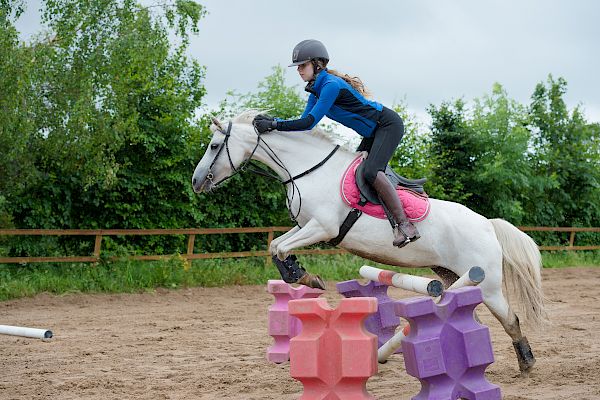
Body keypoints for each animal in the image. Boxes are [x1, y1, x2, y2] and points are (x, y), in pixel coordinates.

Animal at [193, 110, 548, 372]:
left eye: (214, 145)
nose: (197, 182)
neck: (308, 169)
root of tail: (488, 224)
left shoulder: (322, 227)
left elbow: (280, 247)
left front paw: (306, 277)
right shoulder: (307, 225)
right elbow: (276, 246)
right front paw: (306, 277)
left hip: (486, 283)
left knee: (510, 318)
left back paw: (527, 363)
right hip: (450, 276)